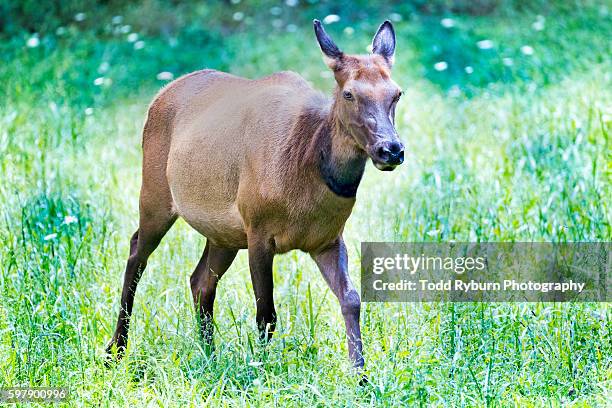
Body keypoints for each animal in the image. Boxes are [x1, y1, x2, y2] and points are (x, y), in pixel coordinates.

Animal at [107, 19, 404, 370]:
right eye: (349, 94)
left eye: (396, 93)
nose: (391, 149)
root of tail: (162, 92)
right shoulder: (259, 230)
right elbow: (267, 314)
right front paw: (261, 369)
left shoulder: (328, 239)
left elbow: (352, 300)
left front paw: (361, 374)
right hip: (155, 193)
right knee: (136, 253)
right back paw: (116, 350)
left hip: (224, 233)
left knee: (200, 280)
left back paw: (209, 355)